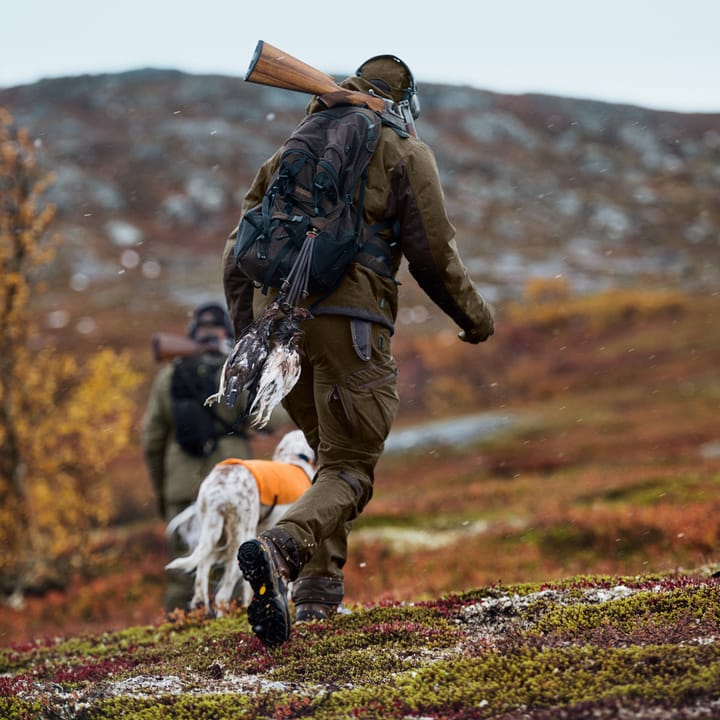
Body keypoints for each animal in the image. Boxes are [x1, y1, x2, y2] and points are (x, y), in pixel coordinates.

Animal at [165, 430, 314, 616]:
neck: (295, 459)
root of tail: (220, 490)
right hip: (240, 538)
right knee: (222, 596)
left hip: (216, 534)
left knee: (202, 573)